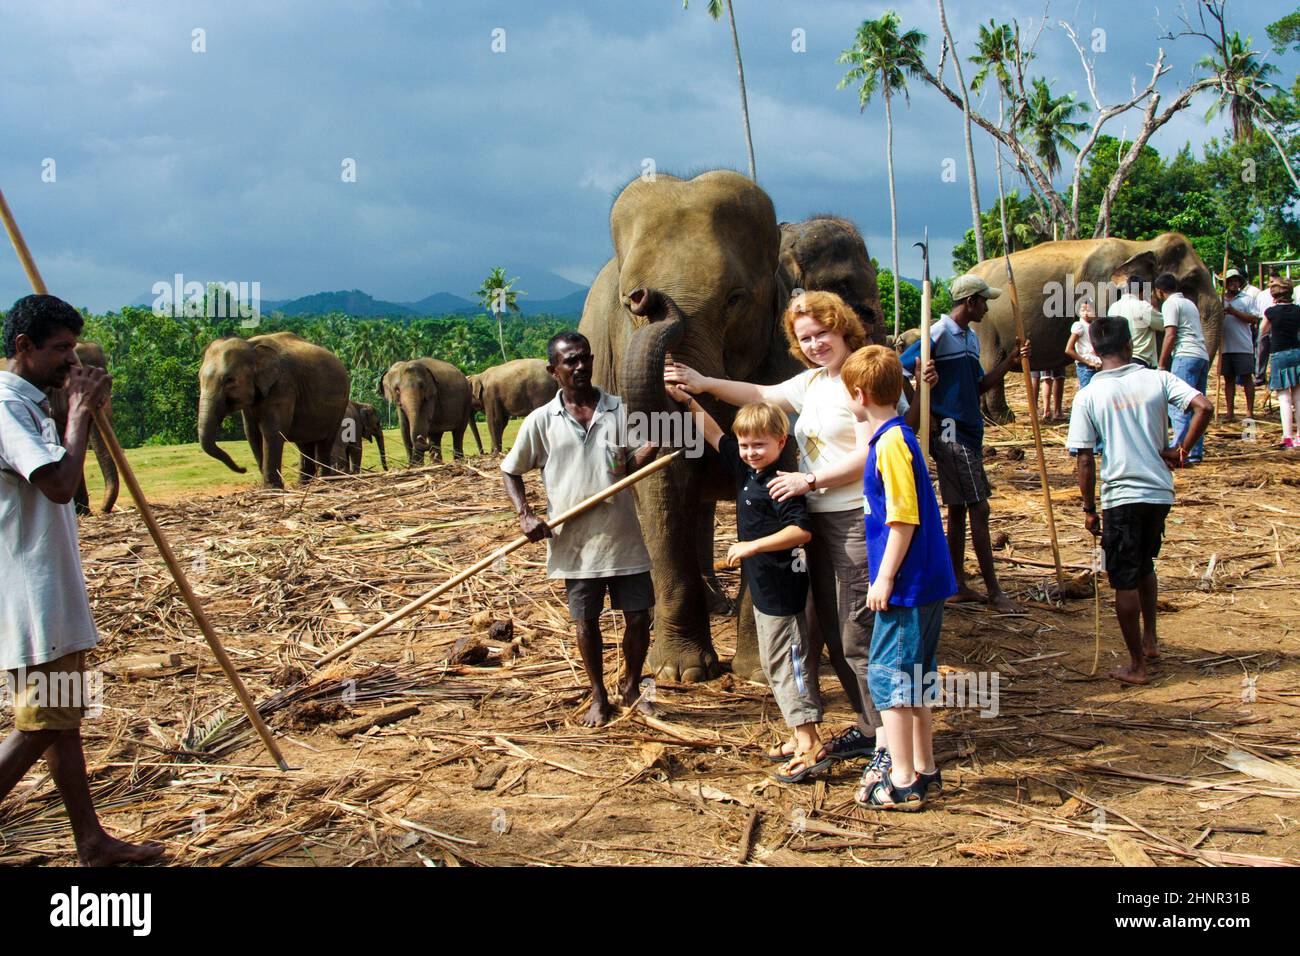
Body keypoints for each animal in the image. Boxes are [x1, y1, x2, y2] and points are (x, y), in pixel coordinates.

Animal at [197, 332, 351, 489]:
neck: (250, 345)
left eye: (229, 380)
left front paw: (271, 488)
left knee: (325, 441)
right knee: (304, 443)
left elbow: (272, 431)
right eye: (199, 378)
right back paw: (303, 484)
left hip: (341, 405)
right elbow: (252, 433)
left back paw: (323, 481)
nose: (243, 469)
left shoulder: (282, 385)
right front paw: (267, 487)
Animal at [582, 170, 878, 681]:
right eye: (627, 300)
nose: (646, 298)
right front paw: (679, 673)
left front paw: (758, 670)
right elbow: (662, 488)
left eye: (735, 299)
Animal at [967, 231, 1227, 418]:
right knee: (991, 362)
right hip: (986, 324)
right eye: (1190, 281)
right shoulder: (1102, 291)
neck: (1139, 247)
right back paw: (1004, 417)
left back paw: (987, 418)